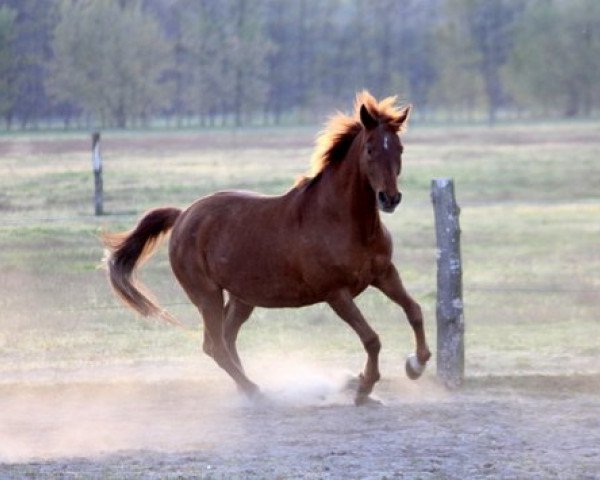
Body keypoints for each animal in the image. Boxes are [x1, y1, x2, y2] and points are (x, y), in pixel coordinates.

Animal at [104, 91, 432, 404]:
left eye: (400, 149)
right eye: (370, 149)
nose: (390, 198)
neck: (342, 221)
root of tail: (183, 215)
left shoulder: (384, 274)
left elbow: (414, 311)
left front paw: (414, 365)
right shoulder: (337, 294)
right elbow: (371, 338)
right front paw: (364, 388)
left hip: (241, 298)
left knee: (227, 338)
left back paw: (247, 388)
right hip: (207, 295)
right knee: (214, 345)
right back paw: (255, 392)